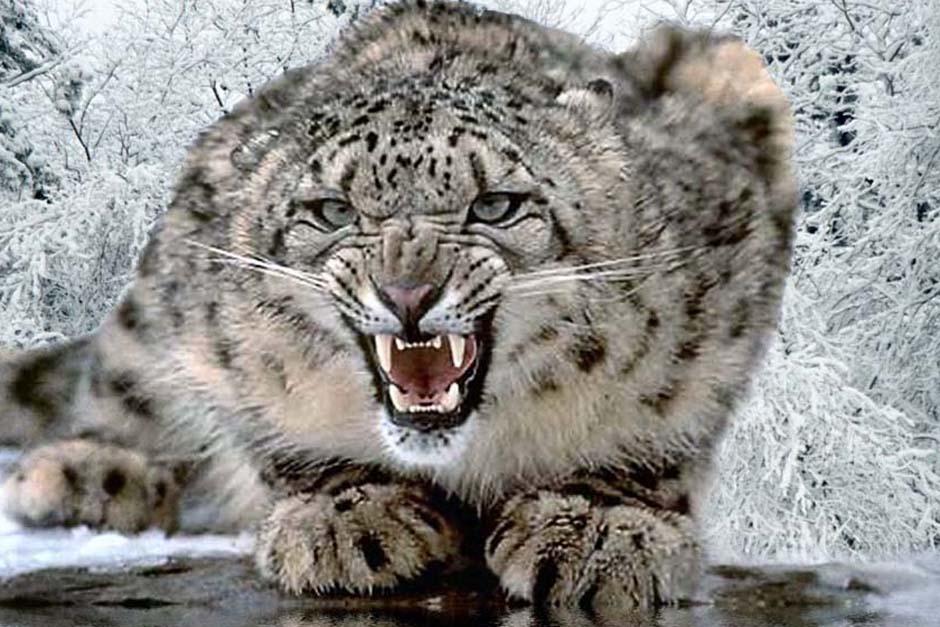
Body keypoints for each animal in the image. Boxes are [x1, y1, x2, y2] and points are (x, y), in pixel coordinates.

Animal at [0, 0, 796, 609]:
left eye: (496, 204)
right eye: (331, 210)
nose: (407, 292)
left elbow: (668, 419)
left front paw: (596, 525)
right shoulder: (219, 327)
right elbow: (270, 431)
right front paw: (347, 518)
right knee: (123, 381)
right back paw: (83, 473)